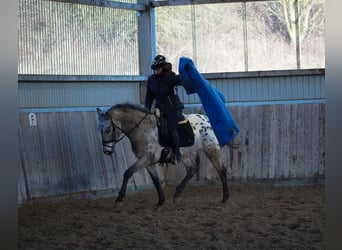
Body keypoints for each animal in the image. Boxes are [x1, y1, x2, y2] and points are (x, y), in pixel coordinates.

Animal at [96, 102, 228, 206]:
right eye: (99, 130)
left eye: (108, 129)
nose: (107, 151)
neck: (143, 129)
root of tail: (207, 120)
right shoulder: (148, 162)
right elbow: (156, 180)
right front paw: (161, 200)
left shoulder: (146, 158)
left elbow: (128, 172)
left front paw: (119, 199)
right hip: (185, 155)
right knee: (192, 169)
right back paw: (176, 195)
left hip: (211, 150)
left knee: (221, 170)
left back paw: (225, 198)